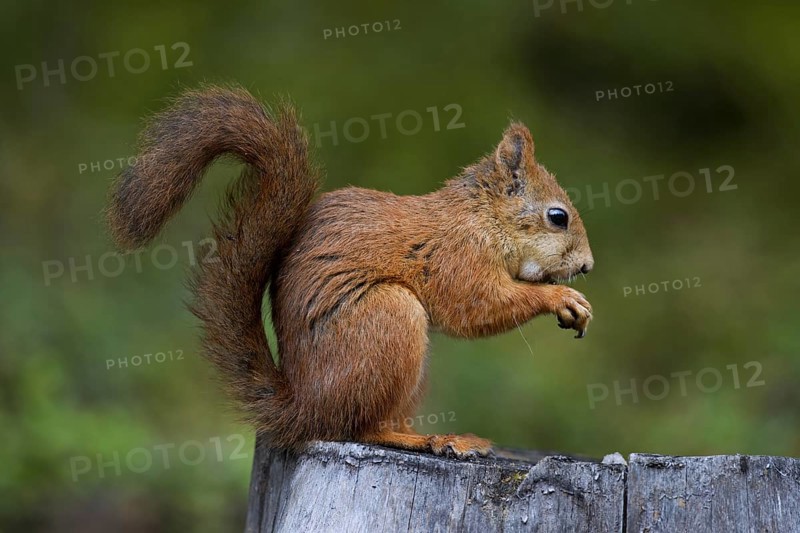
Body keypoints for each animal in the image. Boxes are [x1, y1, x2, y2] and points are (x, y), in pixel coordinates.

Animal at [107, 85, 594, 460]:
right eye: (558, 217)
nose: (588, 266)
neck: (483, 219)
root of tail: (305, 407)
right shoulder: (459, 257)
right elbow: (474, 307)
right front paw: (562, 299)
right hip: (389, 317)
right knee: (362, 429)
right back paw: (430, 439)